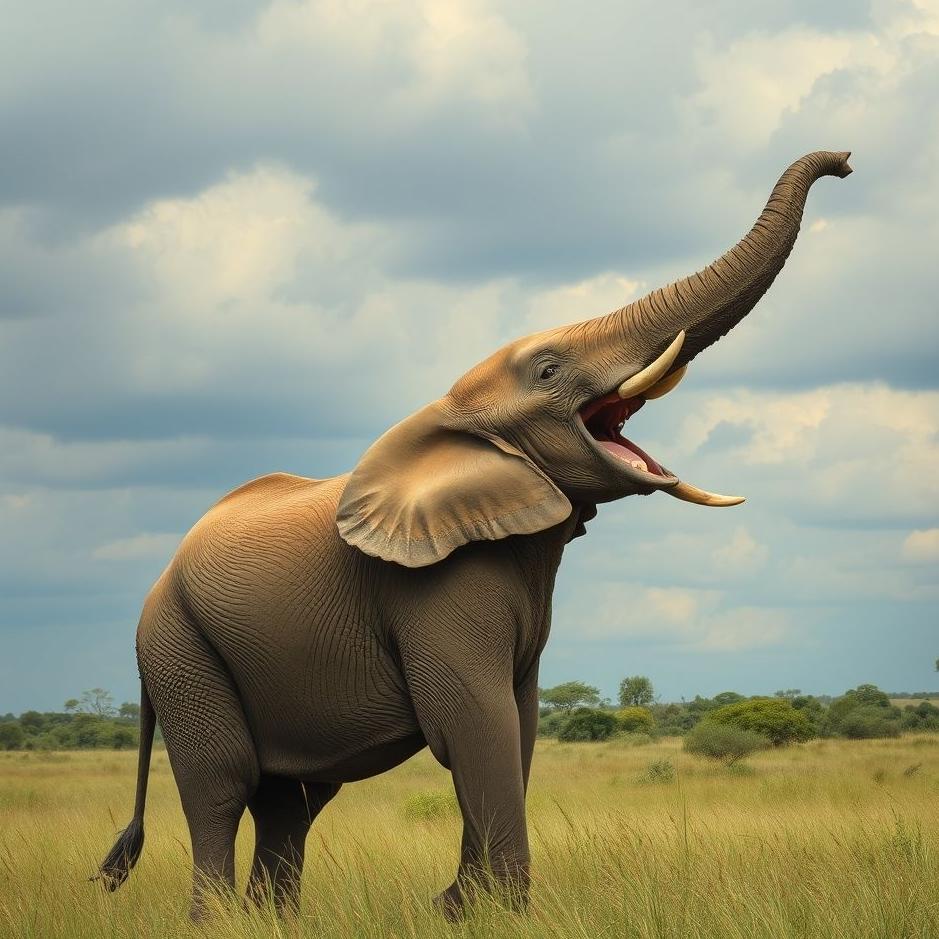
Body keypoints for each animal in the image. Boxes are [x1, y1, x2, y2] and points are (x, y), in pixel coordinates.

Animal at [96, 150, 852, 921]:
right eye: (547, 370)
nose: (844, 164)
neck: (453, 415)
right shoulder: (433, 590)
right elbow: (473, 724)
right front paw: (483, 910)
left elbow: (517, 723)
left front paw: (459, 906)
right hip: (179, 646)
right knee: (224, 785)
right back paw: (220, 918)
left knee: (291, 799)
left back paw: (274, 920)